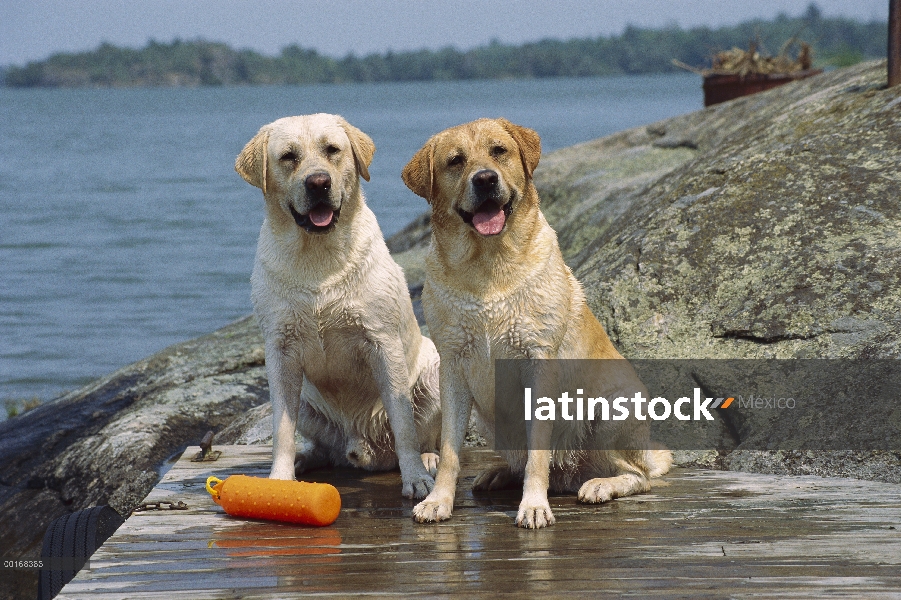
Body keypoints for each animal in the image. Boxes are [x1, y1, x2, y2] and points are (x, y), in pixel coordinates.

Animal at [236, 115, 440, 500]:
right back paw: (305, 458)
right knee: (324, 449)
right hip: (305, 400)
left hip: (435, 370)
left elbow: (403, 421)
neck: (317, 255)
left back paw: (429, 458)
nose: (318, 182)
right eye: (288, 157)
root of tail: (367, 448)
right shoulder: (280, 351)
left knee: (424, 432)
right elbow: (282, 431)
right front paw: (280, 480)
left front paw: (416, 478)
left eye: (332, 150)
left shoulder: (382, 341)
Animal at [400, 118, 668, 528]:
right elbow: (448, 451)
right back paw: (499, 474)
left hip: (611, 410)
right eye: (455, 161)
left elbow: (538, 453)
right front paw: (439, 501)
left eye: (499, 151)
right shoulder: (454, 368)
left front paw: (534, 506)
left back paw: (600, 485)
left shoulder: (538, 362)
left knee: (637, 475)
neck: (487, 263)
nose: (485, 179)